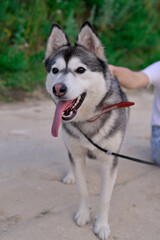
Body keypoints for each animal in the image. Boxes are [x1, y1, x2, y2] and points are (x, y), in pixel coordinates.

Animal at [44, 21, 129, 239]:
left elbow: (105, 198)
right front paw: (83, 215)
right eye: (55, 70)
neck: (87, 120)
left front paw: (101, 225)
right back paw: (70, 175)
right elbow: (82, 190)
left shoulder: (109, 160)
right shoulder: (77, 153)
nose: (58, 88)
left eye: (80, 69)